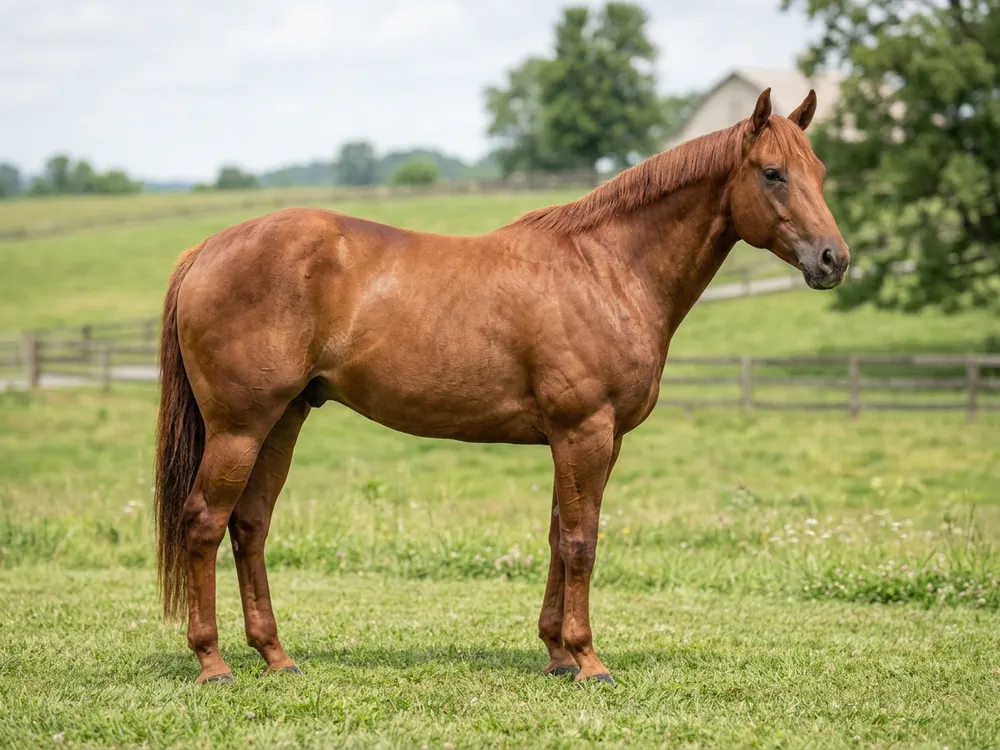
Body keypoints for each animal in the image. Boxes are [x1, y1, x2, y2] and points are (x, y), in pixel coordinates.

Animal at [153, 87, 849, 685]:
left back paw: (276, 656)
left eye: (819, 170)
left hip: (282, 421)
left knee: (250, 526)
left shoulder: (589, 440)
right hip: (239, 428)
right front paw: (589, 661)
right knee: (204, 523)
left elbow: (559, 538)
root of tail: (207, 249)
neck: (605, 269)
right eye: (772, 173)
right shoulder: (584, 431)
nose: (833, 260)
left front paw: (557, 654)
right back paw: (213, 662)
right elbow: (582, 542)